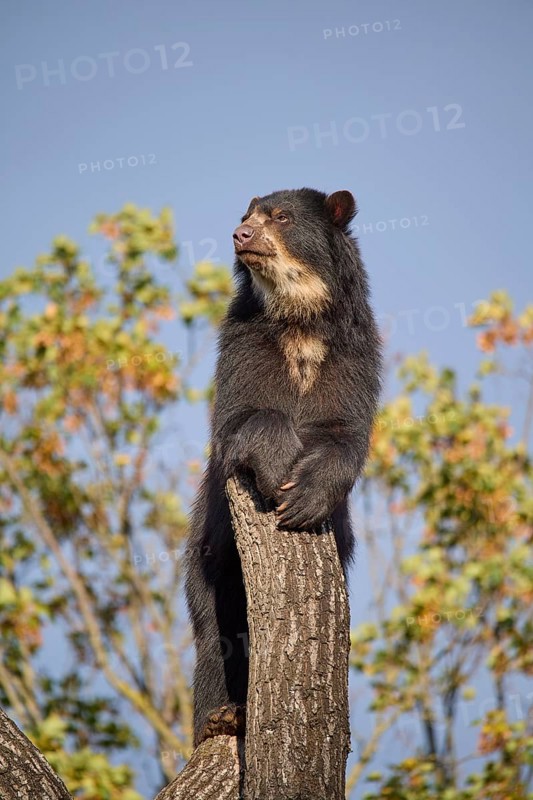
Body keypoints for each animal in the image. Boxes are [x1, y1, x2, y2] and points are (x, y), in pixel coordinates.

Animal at [184, 187, 382, 746]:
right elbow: (241, 416)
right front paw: (277, 474)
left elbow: (344, 433)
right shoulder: (244, 346)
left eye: (282, 217)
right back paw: (223, 715)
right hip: (205, 566)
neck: (299, 318)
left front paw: (305, 498)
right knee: (216, 640)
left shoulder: (354, 358)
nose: (241, 235)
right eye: (247, 215)